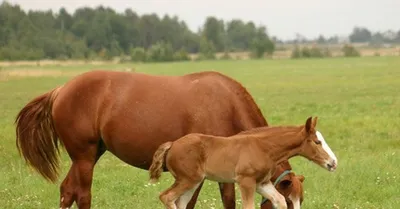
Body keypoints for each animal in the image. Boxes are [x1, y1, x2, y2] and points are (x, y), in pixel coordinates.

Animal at [14, 70, 304, 209]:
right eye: (289, 202)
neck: (226, 104)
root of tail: (61, 89)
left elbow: (227, 201)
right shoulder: (197, 175)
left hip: (89, 155)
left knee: (67, 191)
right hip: (84, 158)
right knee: (82, 195)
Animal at [148, 116, 336, 209]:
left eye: (301, 200)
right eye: (317, 142)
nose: (333, 162)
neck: (263, 147)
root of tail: (172, 144)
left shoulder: (262, 183)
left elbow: (278, 201)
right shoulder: (246, 182)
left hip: (193, 182)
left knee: (180, 202)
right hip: (188, 179)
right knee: (166, 197)